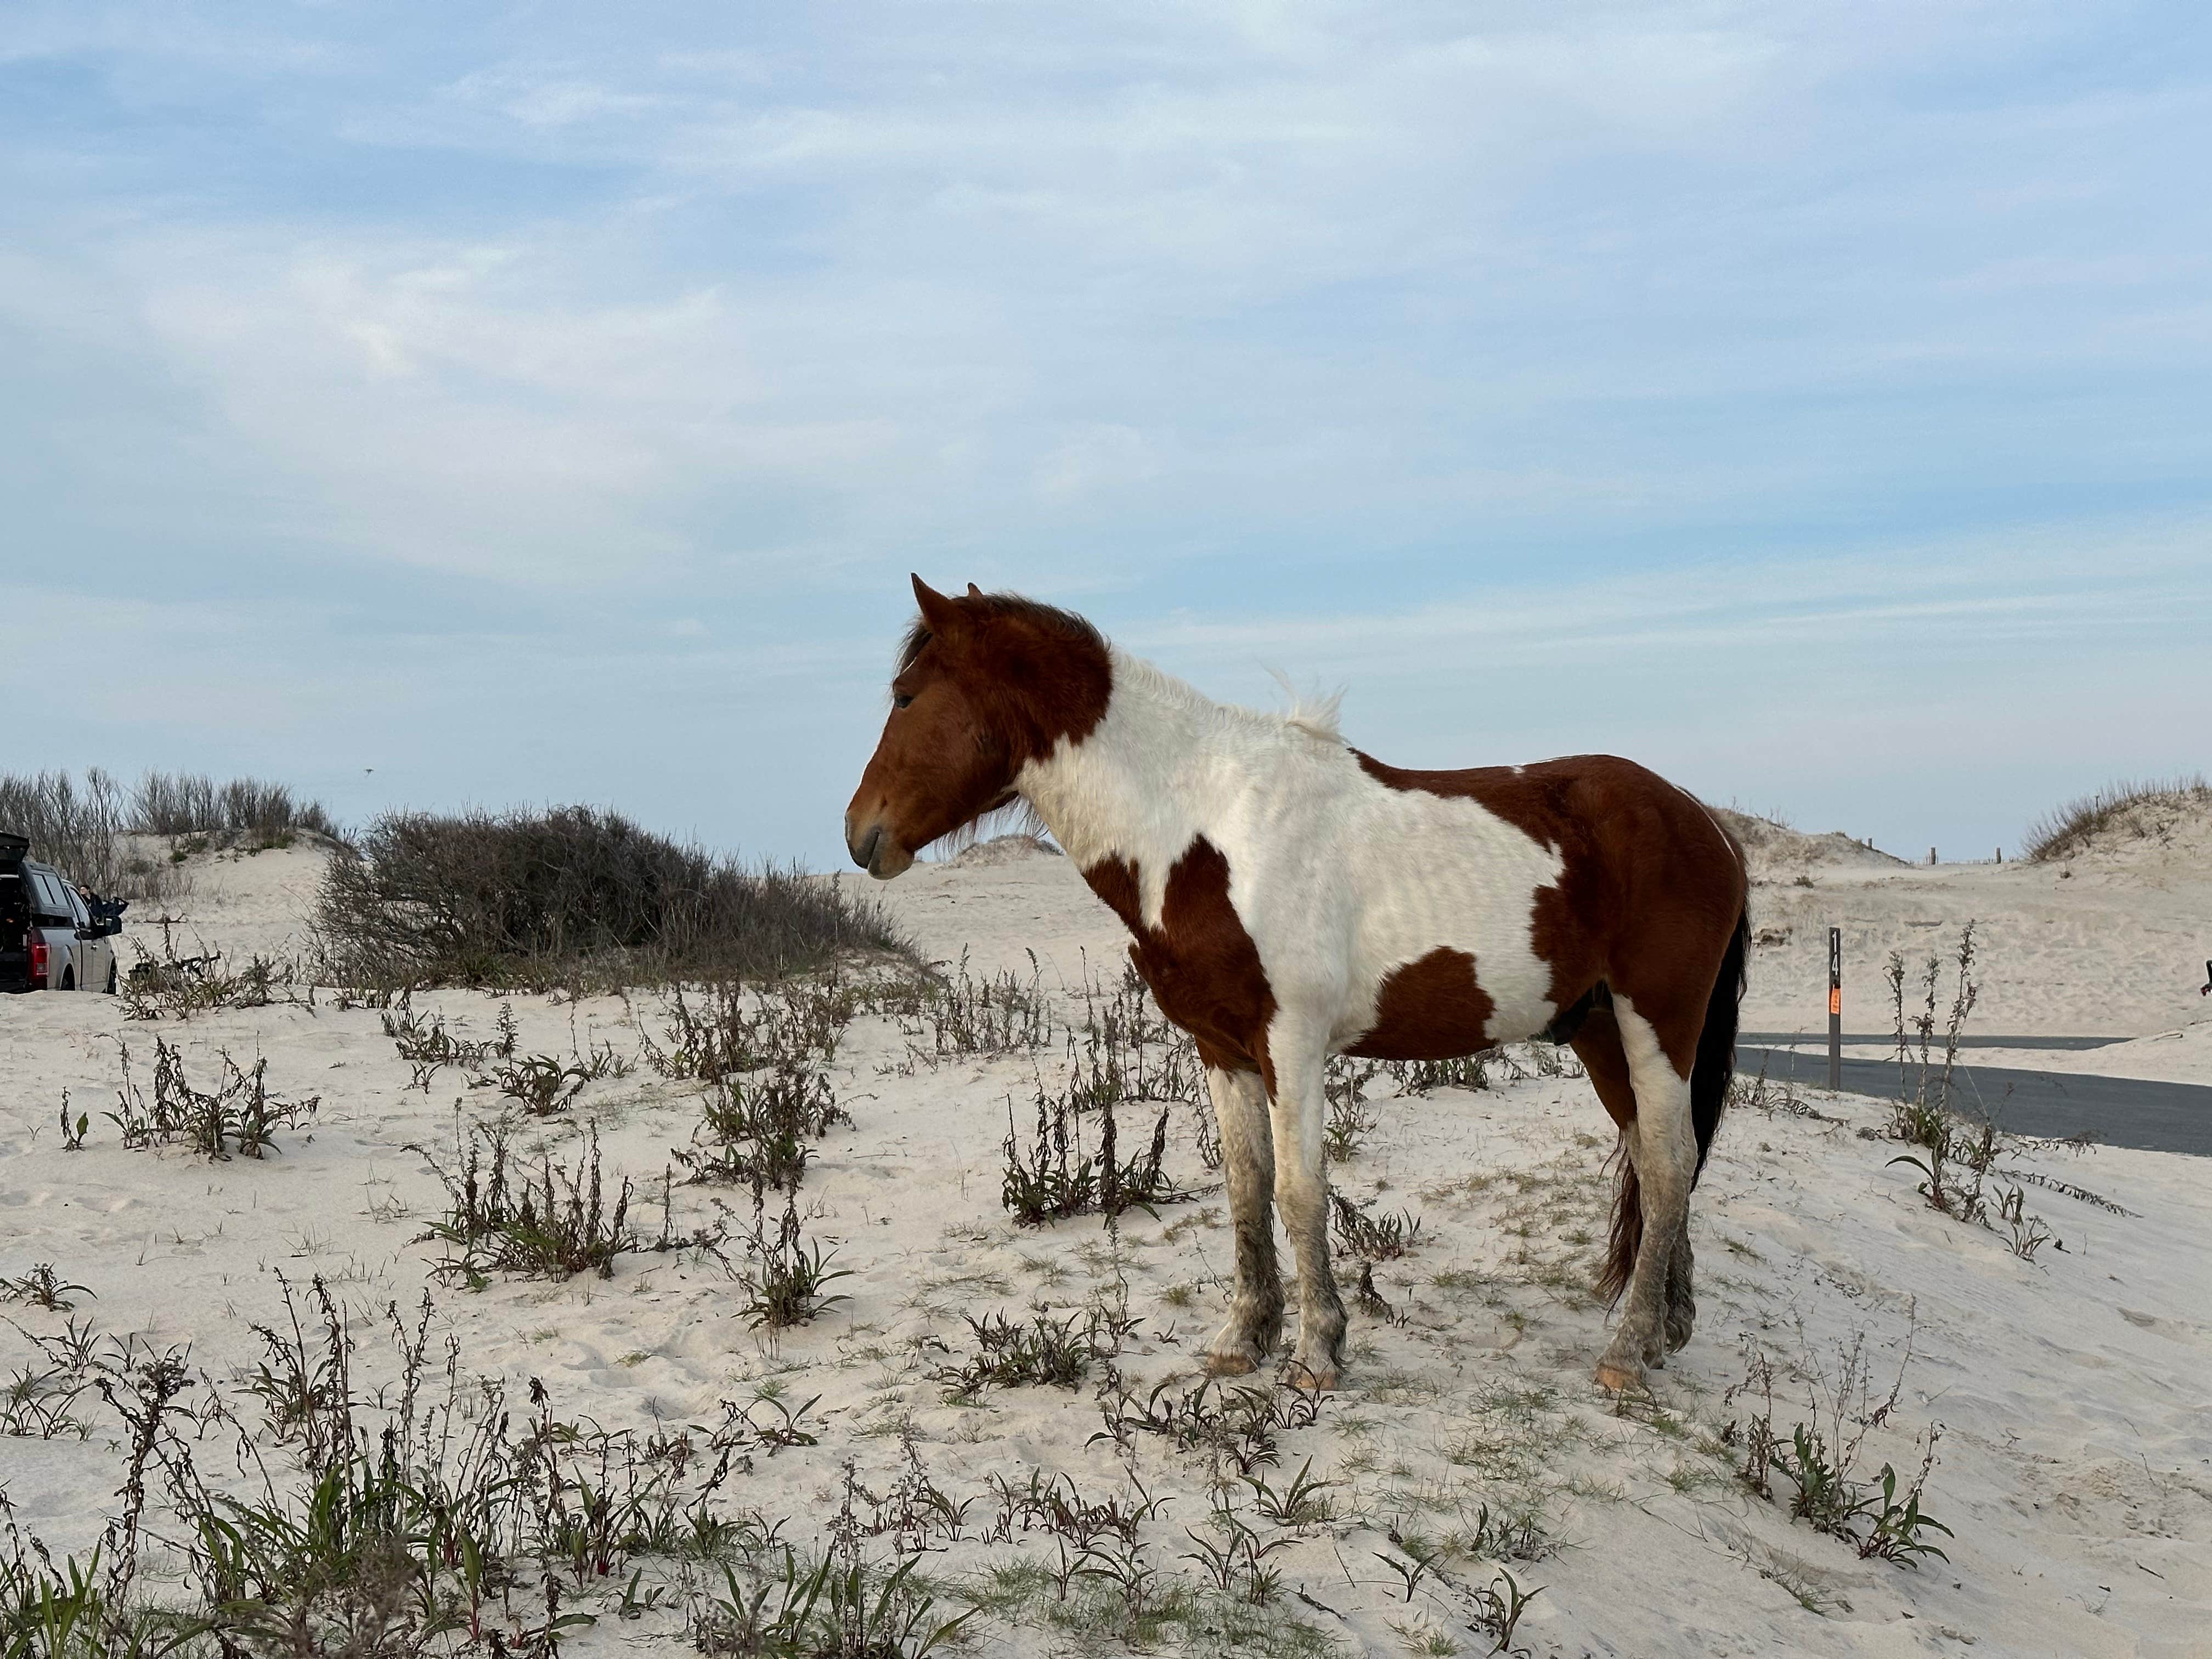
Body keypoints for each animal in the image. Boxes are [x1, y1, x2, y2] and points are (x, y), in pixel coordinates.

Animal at [846, 576, 1749, 1392]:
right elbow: (1247, 1191)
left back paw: (1626, 1354)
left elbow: (1301, 1192)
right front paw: (1243, 1339)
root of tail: (1703, 823)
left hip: (1657, 1022)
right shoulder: (1223, 1049)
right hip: (1599, 1031)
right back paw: (1665, 1330)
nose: (860, 834)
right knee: (1655, 1157)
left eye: (905, 695)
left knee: (1668, 1163)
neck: (1201, 830)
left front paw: (1317, 1351)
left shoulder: (1293, 1042)